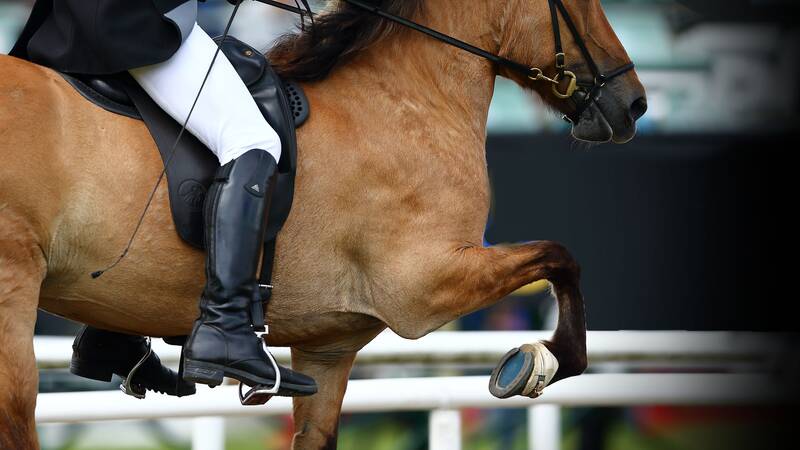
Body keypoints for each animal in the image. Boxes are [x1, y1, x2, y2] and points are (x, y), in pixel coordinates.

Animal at [0, 0, 645, 448]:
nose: (634, 103)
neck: (404, 102)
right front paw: (539, 362)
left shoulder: (327, 349)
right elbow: (561, 256)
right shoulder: (423, 287)